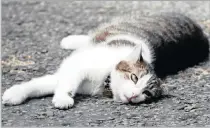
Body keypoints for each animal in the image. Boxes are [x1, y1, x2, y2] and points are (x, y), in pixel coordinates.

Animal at [2, 12, 209, 109]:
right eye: (134, 78)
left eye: (147, 94)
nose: (134, 95)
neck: (104, 80)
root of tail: (202, 35)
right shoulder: (76, 66)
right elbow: (47, 84)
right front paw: (62, 98)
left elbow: (46, 84)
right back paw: (70, 40)